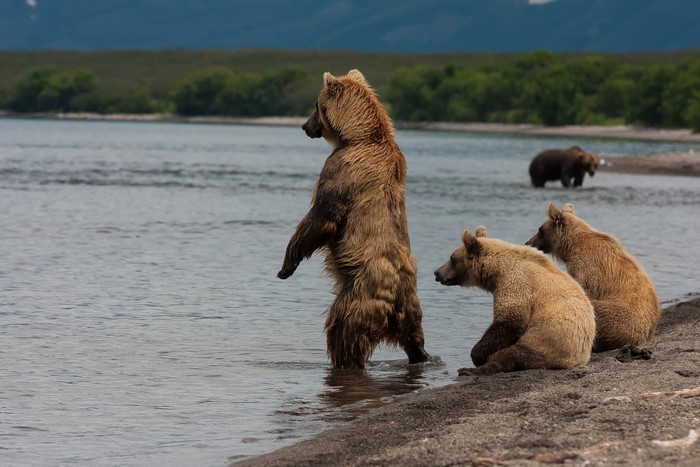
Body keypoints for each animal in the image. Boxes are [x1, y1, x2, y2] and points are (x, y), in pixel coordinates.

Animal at [277, 69, 431, 369]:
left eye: (315, 105)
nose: (304, 126)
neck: (358, 137)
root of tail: (395, 300)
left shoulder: (342, 169)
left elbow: (322, 216)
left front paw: (287, 265)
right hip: (411, 306)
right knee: (415, 337)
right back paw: (422, 357)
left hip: (360, 294)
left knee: (342, 329)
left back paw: (344, 359)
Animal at [434, 226, 595, 376]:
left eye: (452, 258)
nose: (437, 272)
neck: (497, 271)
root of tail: (577, 360)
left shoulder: (516, 284)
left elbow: (510, 321)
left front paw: (478, 355)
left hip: (546, 344)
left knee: (510, 355)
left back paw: (470, 370)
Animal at [526, 203, 661, 352]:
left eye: (540, 230)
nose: (528, 242)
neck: (571, 246)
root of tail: (644, 337)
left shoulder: (587, 267)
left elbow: (582, 289)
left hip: (622, 316)